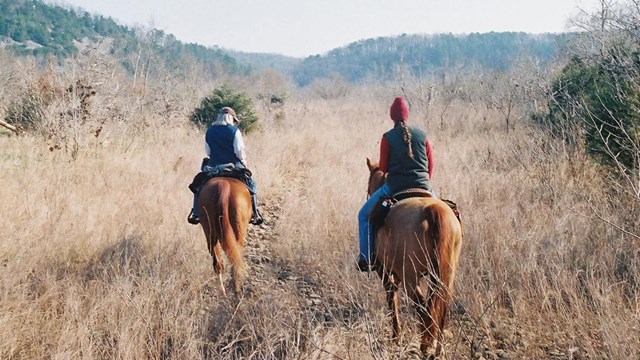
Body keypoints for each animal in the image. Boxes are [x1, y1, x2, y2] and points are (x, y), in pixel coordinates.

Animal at [364, 158, 460, 358]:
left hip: (411, 278)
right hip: (447, 274)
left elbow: (391, 298)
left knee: (424, 309)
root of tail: (433, 210)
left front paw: (396, 336)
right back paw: (437, 349)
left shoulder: (385, 271)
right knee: (441, 307)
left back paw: (425, 346)